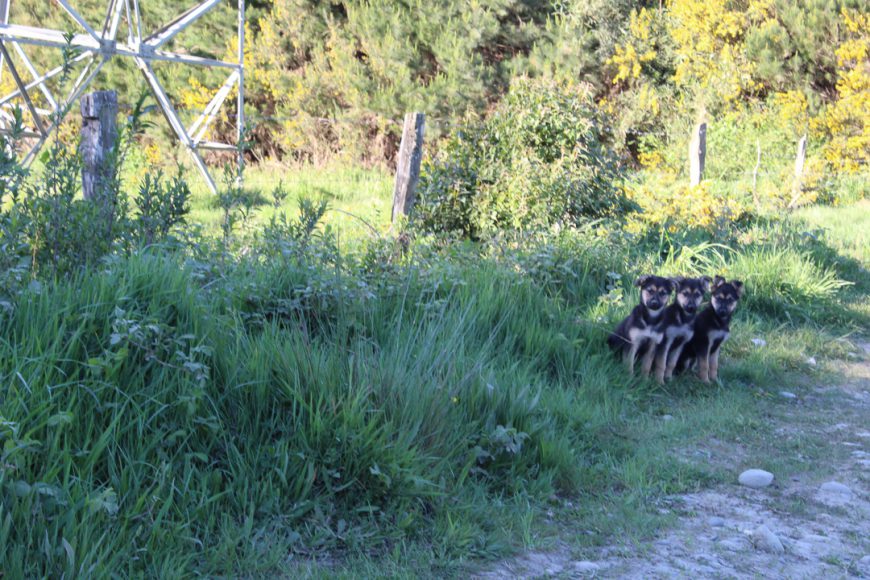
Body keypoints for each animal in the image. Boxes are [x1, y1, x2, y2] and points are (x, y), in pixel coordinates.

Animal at [608, 274, 744, 382]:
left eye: (697, 295)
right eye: (685, 293)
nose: (691, 307)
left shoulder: (684, 344)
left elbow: (670, 364)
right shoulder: (664, 343)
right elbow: (656, 364)